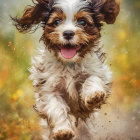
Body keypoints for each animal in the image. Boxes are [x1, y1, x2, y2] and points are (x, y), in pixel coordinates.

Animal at [12, 0, 119, 139]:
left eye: (83, 22)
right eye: (57, 21)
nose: (68, 33)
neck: (69, 64)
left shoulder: (97, 71)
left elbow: (92, 78)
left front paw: (93, 94)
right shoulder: (49, 87)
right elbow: (56, 107)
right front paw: (63, 131)